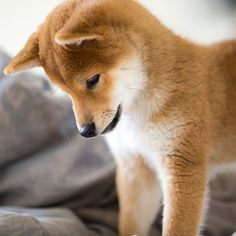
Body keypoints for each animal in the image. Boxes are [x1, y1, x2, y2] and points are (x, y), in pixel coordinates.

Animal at [3, 0, 236, 236]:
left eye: (92, 79)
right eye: (65, 92)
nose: (85, 131)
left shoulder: (183, 166)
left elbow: (176, 228)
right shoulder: (134, 167)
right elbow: (130, 224)